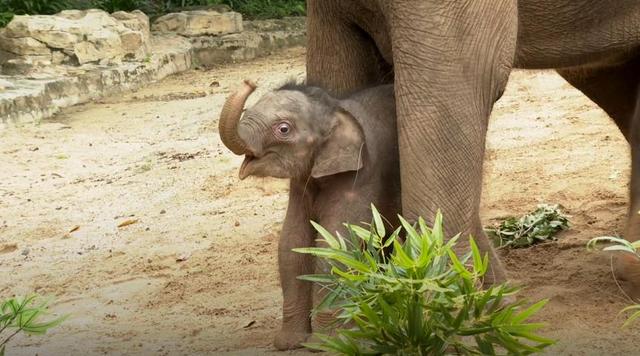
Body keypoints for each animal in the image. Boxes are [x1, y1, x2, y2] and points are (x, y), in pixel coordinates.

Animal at [220, 80, 400, 350]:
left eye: (283, 129)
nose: (249, 82)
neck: (337, 110)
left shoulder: (363, 176)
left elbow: (334, 245)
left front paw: (326, 344)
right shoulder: (300, 184)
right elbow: (291, 245)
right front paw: (289, 343)